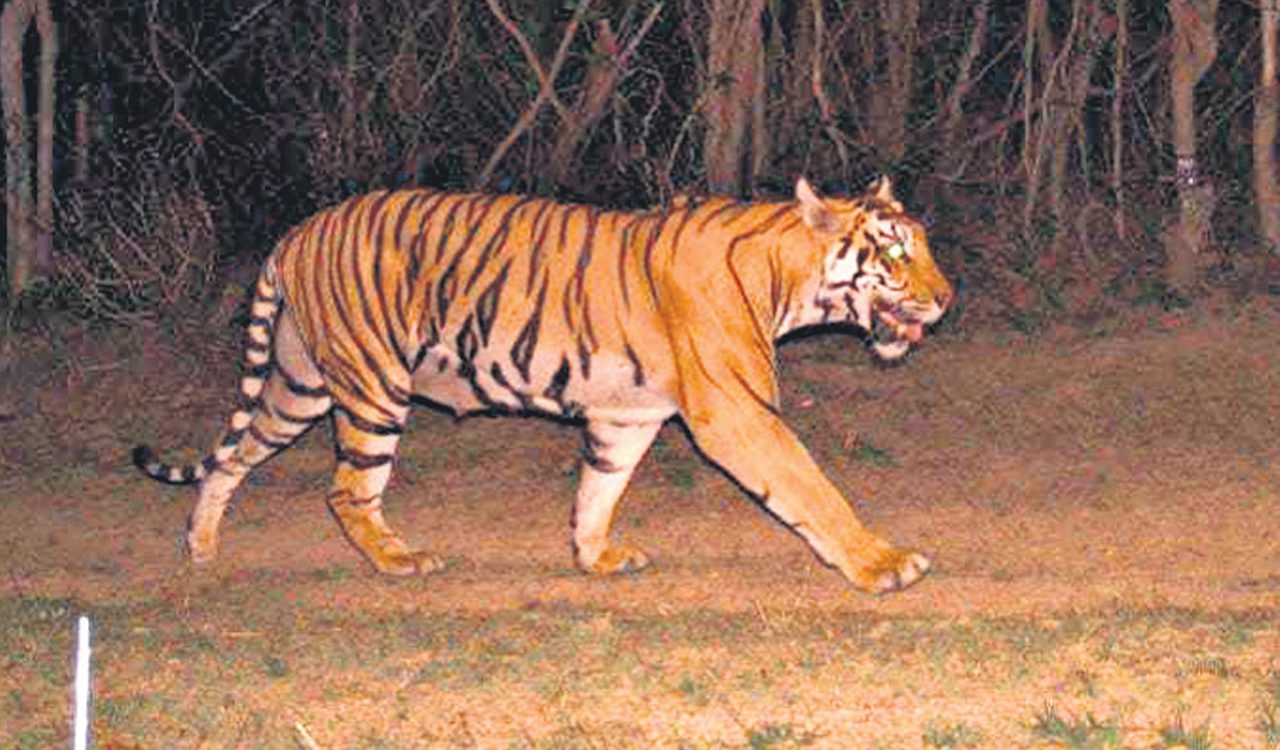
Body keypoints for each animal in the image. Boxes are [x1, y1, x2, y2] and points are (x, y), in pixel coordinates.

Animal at [133, 176, 953, 594]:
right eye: (894, 252)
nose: (948, 299)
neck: (787, 281)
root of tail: (296, 232)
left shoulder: (627, 417)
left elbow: (598, 491)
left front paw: (595, 558)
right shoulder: (736, 412)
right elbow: (812, 487)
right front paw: (881, 564)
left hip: (300, 383)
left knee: (236, 455)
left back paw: (201, 545)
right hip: (370, 386)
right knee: (344, 491)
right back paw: (398, 561)